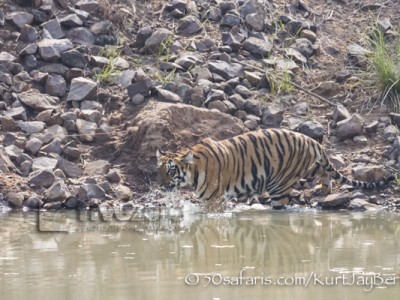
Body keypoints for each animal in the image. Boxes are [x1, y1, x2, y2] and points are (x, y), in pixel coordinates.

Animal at [155, 128, 392, 209]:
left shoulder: (213, 200)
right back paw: (324, 190)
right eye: (159, 171)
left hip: (281, 184)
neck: (192, 173)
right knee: (323, 171)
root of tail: (311, 140)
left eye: (170, 172)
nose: (160, 186)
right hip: (306, 168)